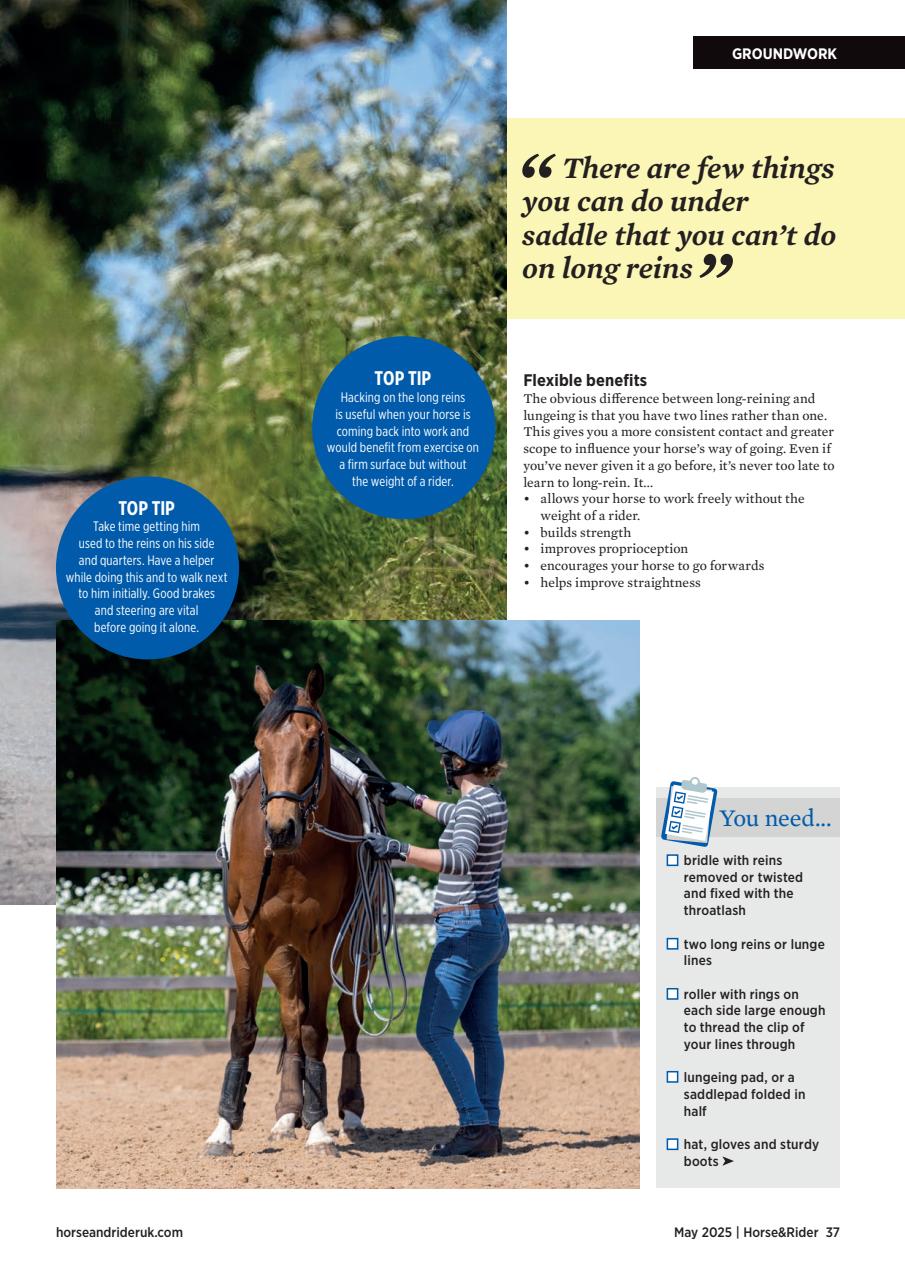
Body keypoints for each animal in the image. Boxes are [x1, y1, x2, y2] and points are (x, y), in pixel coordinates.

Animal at [205, 664, 368, 1156]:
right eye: (260, 746)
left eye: (312, 741)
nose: (280, 829)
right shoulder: (248, 937)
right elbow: (245, 1030)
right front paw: (223, 1128)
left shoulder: (324, 943)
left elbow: (318, 1032)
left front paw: (319, 1131)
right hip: (283, 955)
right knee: (292, 1016)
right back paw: (287, 1113)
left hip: (358, 955)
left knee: (345, 1020)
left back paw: (349, 1113)